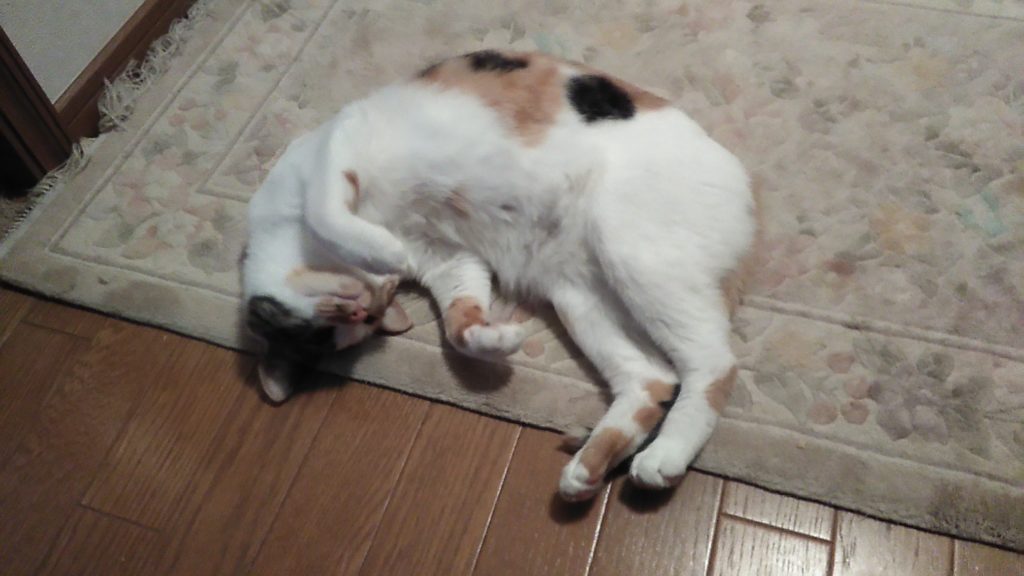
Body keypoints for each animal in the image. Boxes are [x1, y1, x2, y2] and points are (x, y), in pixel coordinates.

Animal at [242, 49, 759, 501]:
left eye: (350, 308)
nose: (375, 297)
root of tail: (748, 199)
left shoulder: (335, 154)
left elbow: (327, 212)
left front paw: (384, 251)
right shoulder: (449, 258)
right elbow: (459, 327)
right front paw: (496, 339)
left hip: (633, 249)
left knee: (713, 364)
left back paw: (665, 457)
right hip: (581, 297)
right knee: (650, 379)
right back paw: (587, 470)